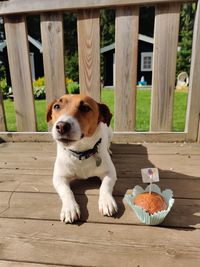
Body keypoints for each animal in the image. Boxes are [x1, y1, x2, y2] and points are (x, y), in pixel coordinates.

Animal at [46, 94, 117, 224]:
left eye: (85, 108)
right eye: (57, 106)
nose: (61, 126)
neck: (81, 153)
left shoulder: (110, 172)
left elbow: (105, 186)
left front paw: (107, 201)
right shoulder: (59, 178)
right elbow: (67, 191)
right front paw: (69, 208)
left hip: (111, 133)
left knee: (109, 142)